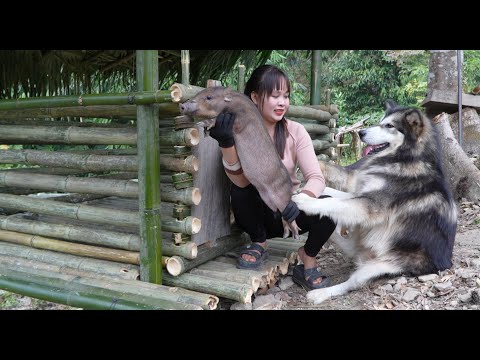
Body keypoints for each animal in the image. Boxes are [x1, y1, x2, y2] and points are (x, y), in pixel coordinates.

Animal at [180, 86, 300, 240]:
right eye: (198, 93)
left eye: (209, 97)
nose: (182, 105)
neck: (232, 106)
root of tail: (290, 188)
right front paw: (205, 131)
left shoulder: (239, 123)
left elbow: (217, 120)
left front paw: (203, 124)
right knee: (283, 217)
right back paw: (285, 235)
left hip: (282, 197)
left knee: (291, 217)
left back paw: (296, 235)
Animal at [292, 100, 458, 304]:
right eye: (381, 122)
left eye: (389, 126)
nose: (361, 133)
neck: (404, 159)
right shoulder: (363, 193)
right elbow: (333, 195)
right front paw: (303, 189)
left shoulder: (371, 205)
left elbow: (335, 203)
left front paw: (304, 200)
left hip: (378, 266)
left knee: (350, 284)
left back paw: (319, 293)